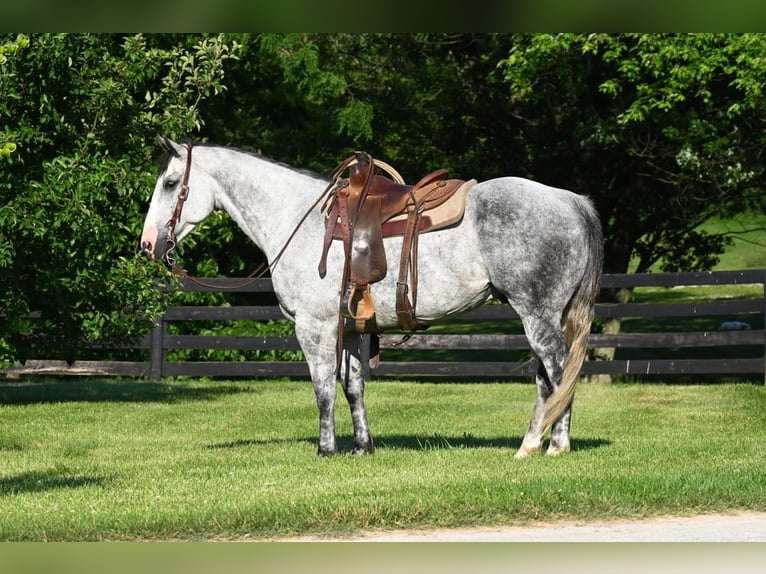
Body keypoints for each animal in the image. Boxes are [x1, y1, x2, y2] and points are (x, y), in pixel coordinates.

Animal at [141, 137, 604, 462]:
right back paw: (530, 443)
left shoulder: (315, 326)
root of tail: (571, 200)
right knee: (547, 379)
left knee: (559, 371)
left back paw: (555, 444)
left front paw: (325, 449)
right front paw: (362, 447)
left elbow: (323, 388)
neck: (300, 220)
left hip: (537, 316)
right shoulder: (349, 329)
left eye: (170, 183)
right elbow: (352, 387)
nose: (147, 244)